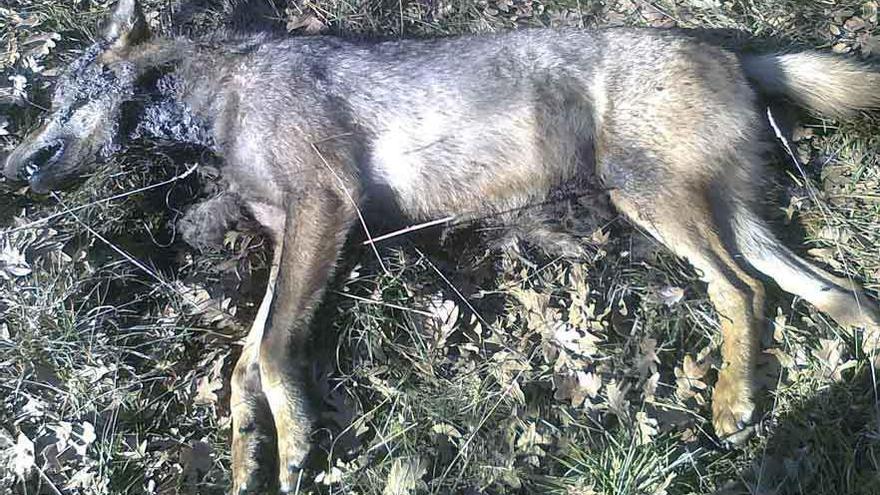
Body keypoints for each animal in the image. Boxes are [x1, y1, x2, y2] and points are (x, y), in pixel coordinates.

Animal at [5, 0, 880, 490]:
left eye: (59, 100)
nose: (14, 169)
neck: (220, 97)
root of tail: (731, 49)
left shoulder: (323, 211)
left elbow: (276, 350)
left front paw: (295, 449)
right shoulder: (294, 232)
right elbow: (245, 360)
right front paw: (247, 452)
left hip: (651, 199)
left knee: (745, 291)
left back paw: (733, 401)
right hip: (728, 215)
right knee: (827, 288)